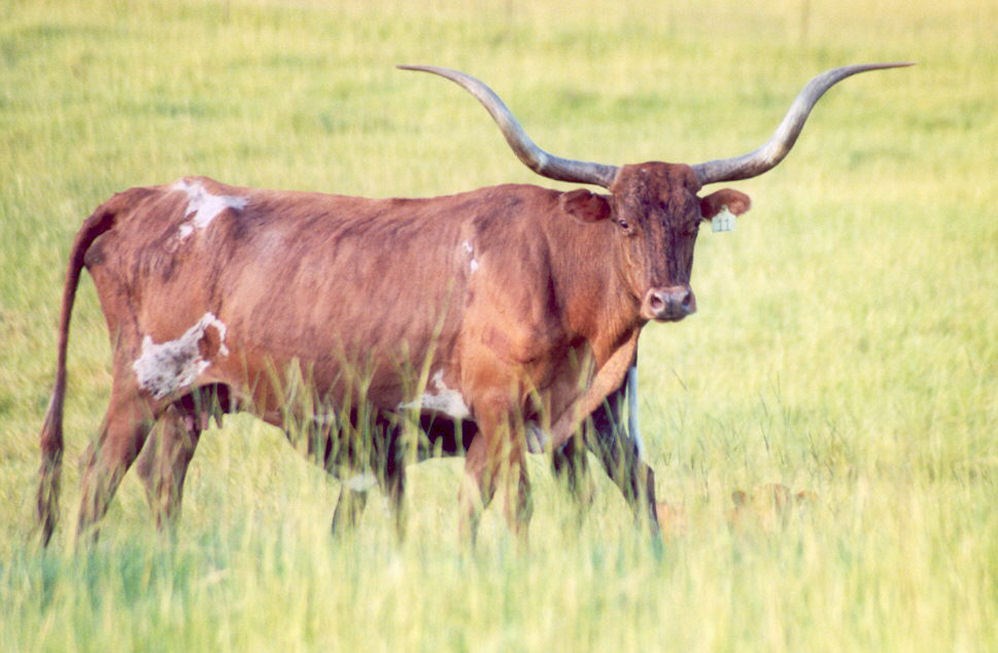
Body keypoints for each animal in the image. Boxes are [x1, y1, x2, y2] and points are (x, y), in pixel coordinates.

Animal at [35, 62, 909, 546]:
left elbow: (630, 490)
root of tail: (153, 192)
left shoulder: (593, 418)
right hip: (139, 384)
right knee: (98, 472)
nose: (671, 298)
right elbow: (508, 506)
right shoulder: (499, 413)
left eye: (692, 221)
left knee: (162, 482)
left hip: (189, 402)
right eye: (625, 221)